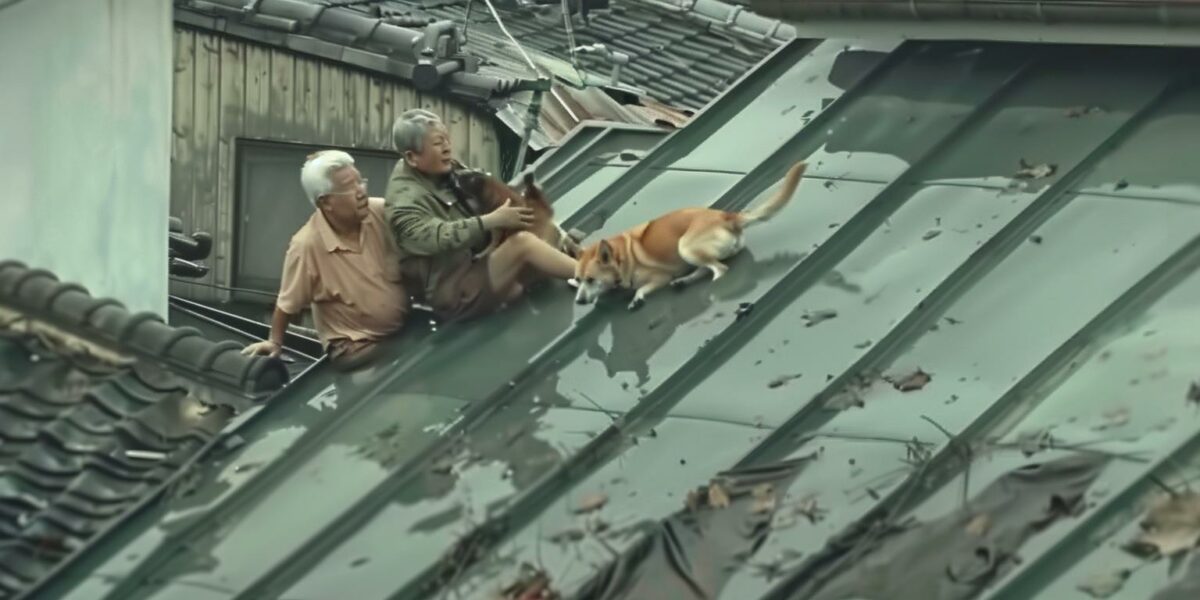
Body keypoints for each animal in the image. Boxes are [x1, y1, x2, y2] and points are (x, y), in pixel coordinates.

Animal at [571, 160, 806, 309]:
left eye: (590, 279)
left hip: (684, 246)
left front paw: (637, 297)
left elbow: (641, 289)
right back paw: (684, 281)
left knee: (719, 269)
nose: (578, 302)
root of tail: (728, 217)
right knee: (705, 268)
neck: (621, 257)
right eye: (580, 279)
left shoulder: (659, 278)